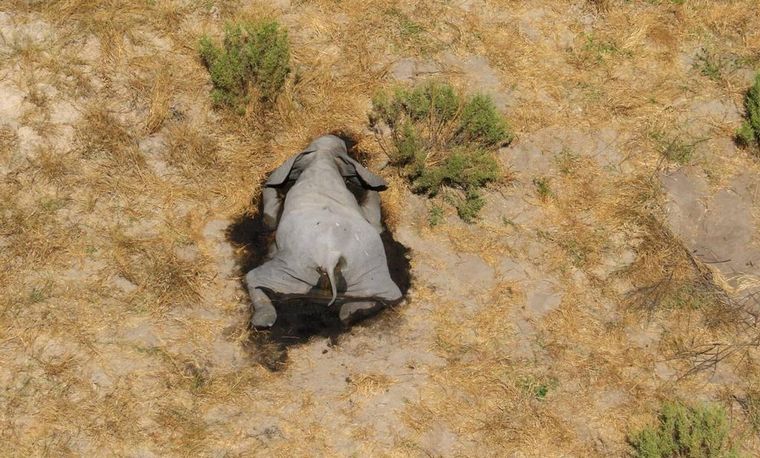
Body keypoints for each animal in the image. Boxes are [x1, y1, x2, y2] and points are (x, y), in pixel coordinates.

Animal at [245, 135, 403, 328]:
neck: (323, 158)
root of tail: (330, 259)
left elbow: (270, 220)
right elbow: (374, 222)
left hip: (292, 270)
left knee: (253, 277)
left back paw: (263, 319)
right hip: (369, 273)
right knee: (390, 296)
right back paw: (349, 313)